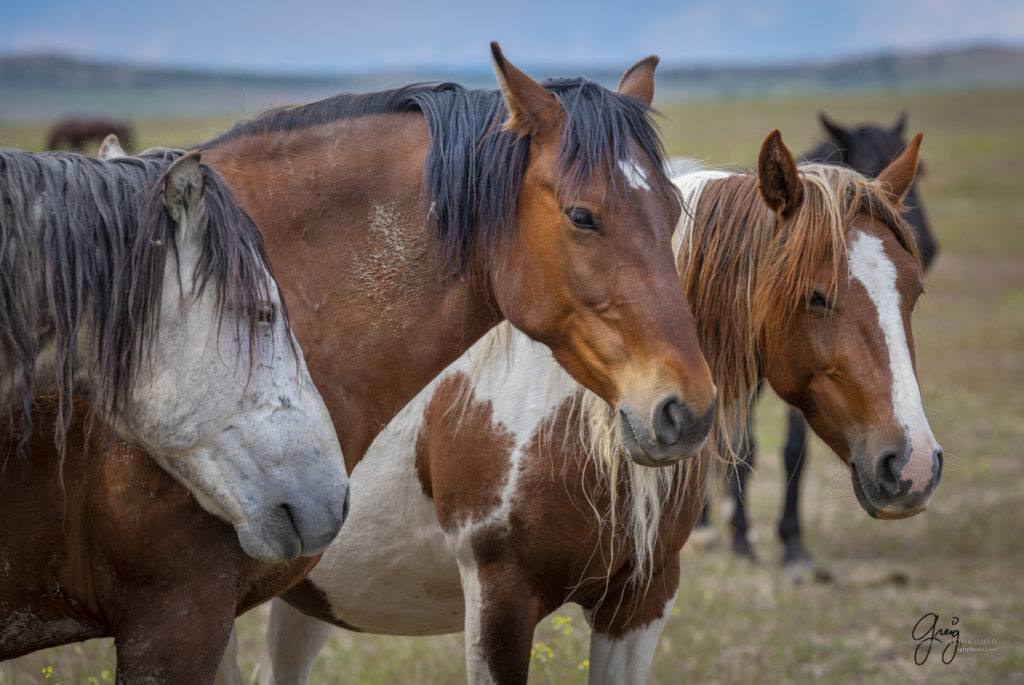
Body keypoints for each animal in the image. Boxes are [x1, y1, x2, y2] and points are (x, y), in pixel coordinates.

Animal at [700, 113, 937, 573]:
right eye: (814, 296)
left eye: (915, 292)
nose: (914, 467)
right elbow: (742, 446)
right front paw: (741, 537)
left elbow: (793, 452)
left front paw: (792, 545)